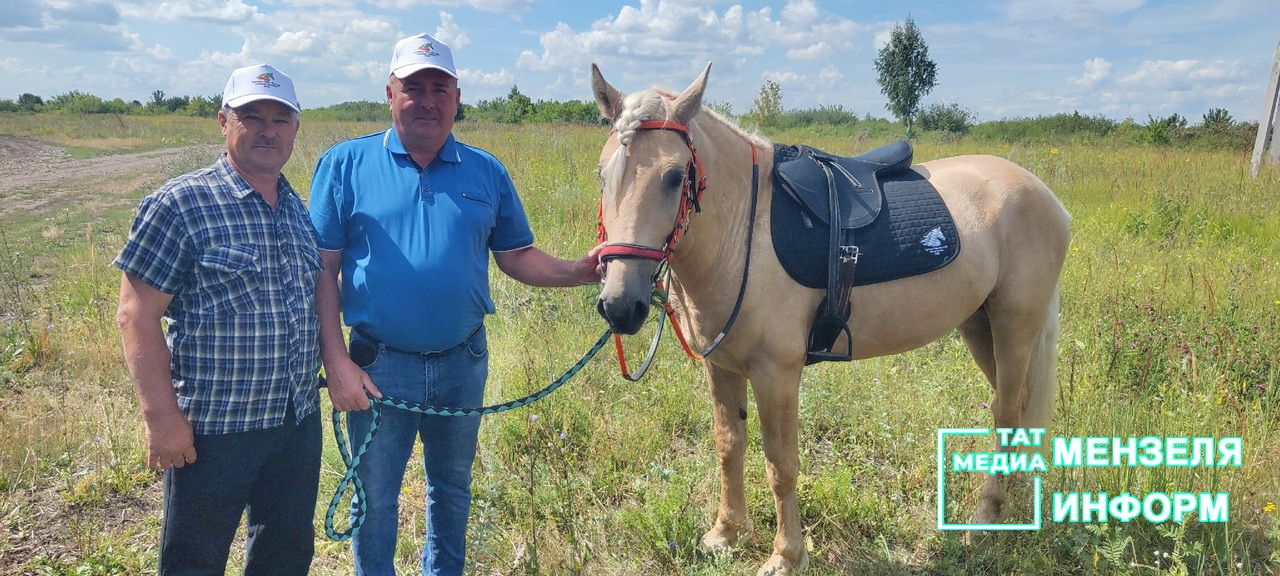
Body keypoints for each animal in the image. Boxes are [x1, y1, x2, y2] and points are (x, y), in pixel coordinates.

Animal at [588, 64, 1070, 576]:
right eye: (603, 174)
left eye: (675, 176)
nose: (620, 305)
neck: (744, 232)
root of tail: (1046, 196)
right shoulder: (721, 367)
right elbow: (728, 446)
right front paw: (726, 534)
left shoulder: (776, 375)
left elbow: (781, 465)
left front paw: (786, 555)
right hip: (980, 327)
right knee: (1016, 410)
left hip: (1015, 327)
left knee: (1006, 414)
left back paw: (985, 519)